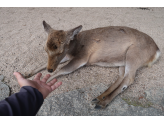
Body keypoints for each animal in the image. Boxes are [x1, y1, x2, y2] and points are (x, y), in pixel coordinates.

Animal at [25, 20, 161, 109]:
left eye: (60, 50)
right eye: (45, 49)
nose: (50, 69)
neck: (75, 48)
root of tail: (157, 51)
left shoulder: (82, 58)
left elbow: (63, 70)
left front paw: (40, 83)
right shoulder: (69, 56)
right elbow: (45, 64)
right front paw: (27, 73)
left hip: (134, 56)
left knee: (129, 79)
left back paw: (102, 103)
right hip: (123, 61)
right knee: (122, 77)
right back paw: (100, 97)